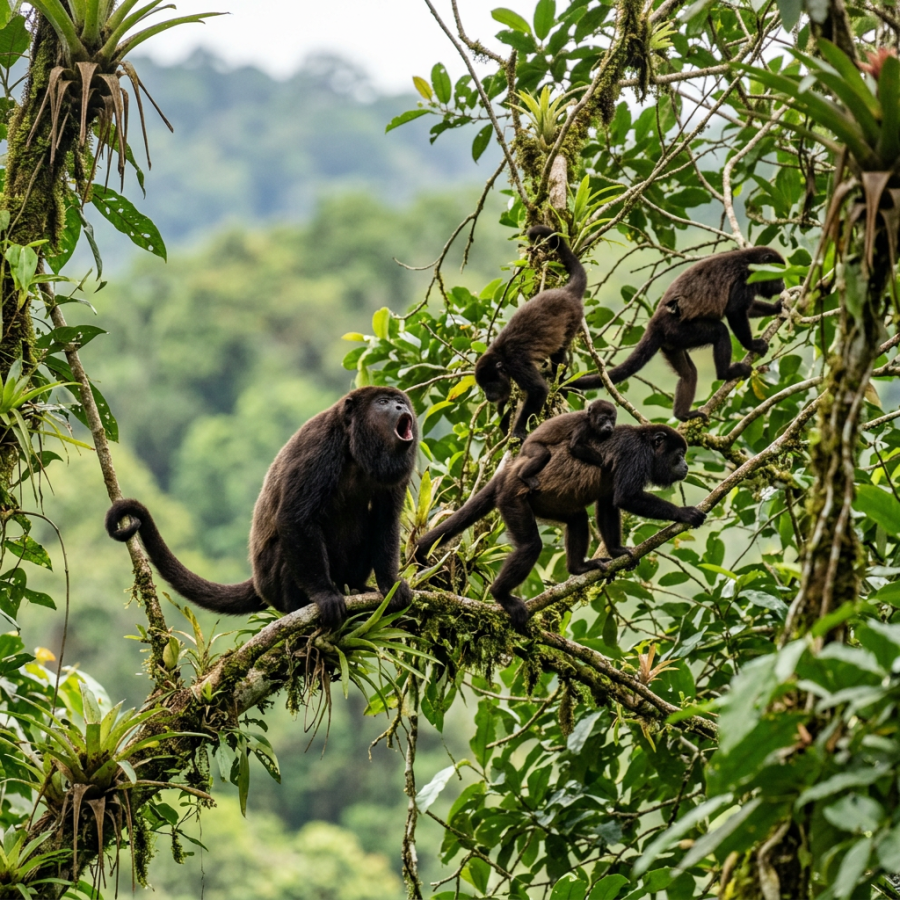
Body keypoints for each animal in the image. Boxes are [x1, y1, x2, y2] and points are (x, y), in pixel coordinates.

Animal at [106, 387, 418, 631]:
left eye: (399, 400)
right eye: (383, 402)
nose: (401, 406)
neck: (356, 450)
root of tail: (258, 581)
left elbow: (386, 521)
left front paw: (389, 585)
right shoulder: (320, 446)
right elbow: (295, 518)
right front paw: (324, 595)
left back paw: (357, 588)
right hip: (273, 581)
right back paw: (302, 603)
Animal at [415, 423, 704, 631]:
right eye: (678, 455)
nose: (686, 466)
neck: (646, 443)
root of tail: (508, 473)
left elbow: (608, 503)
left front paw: (616, 551)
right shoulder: (636, 455)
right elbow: (626, 497)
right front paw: (685, 514)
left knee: (578, 519)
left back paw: (578, 568)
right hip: (512, 499)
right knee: (531, 546)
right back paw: (501, 595)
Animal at [475, 225, 588, 439]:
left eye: (489, 385)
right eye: (483, 387)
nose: (487, 395)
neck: (500, 355)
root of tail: (566, 292)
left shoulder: (516, 363)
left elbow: (538, 390)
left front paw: (518, 430)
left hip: (574, 318)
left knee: (560, 353)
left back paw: (559, 376)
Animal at [569, 247, 785, 421]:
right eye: (779, 275)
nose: (783, 285)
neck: (750, 261)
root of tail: (654, 323)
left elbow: (747, 309)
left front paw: (777, 307)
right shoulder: (745, 279)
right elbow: (735, 311)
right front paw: (752, 345)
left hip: (671, 343)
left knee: (689, 373)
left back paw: (682, 414)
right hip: (678, 330)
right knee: (720, 331)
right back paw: (726, 373)